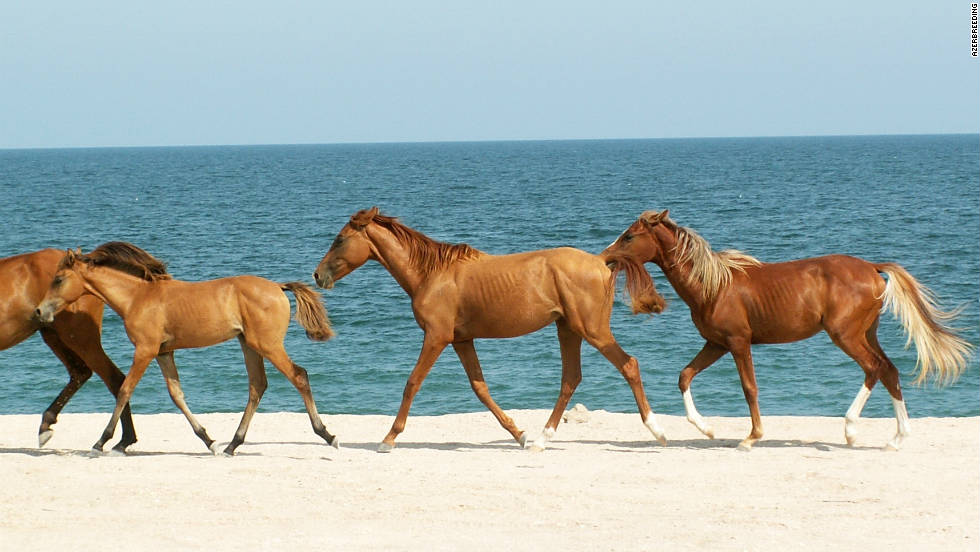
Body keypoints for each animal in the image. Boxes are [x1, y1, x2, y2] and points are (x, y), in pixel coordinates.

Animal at [0, 248, 136, 450]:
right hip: (54, 335)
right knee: (80, 373)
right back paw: (46, 425)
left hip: (81, 339)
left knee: (114, 379)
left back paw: (121, 440)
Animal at [33, 244, 340, 454]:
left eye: (58, 279)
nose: (39, 311)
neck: (137, 297)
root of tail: (278, 287)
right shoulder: (163, 353)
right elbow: (176, 395)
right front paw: (208, 440)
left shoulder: (145, 350)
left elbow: (124, 390)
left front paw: (103, 441)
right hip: (249, 345)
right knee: (257, 386)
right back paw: (232, 445)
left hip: (267, 345)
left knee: (298, 376)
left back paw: (328, 435)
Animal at [312, 207, 668, 452]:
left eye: (340, 239)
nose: (317, 275)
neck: (430, 274)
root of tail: (600, 263)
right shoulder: (462, 340)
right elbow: (480, 388)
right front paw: (519, 434)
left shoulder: (436, 337)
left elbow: (412, 383)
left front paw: (388, 438)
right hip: (568, 329)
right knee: (571, 379)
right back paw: (540, 439)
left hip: (592, 330)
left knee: (628, 365)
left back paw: (658, 431)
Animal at [600, 209, 976, 450]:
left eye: (629, 236)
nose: (605, 258)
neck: (714, 286)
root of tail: (871, 267)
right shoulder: (716, 343)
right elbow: (685, 376)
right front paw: (706, 429)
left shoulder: (738, 342)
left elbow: (749, 388)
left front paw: (751, 437)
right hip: (867, 333)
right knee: (890, 371)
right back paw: (895, 439)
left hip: (846, 335)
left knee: (874, 369)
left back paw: (851, 431)